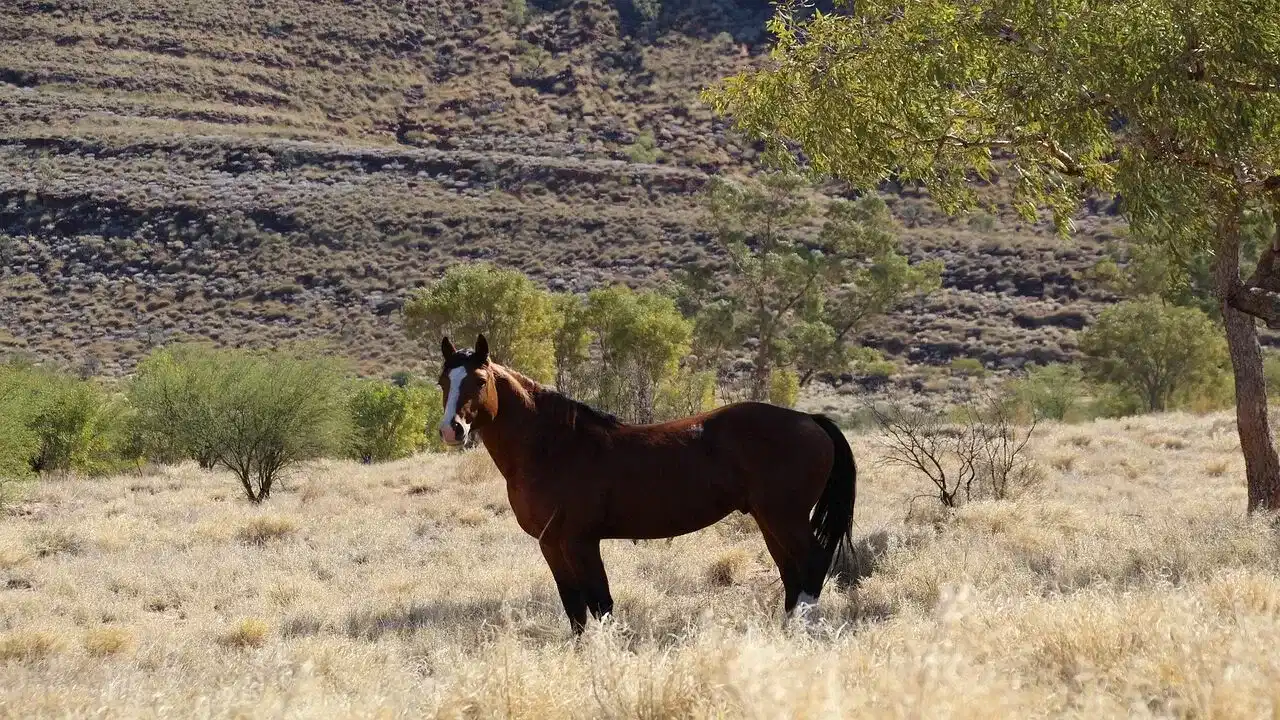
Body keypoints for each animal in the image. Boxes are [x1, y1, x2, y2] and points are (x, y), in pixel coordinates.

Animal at [435, 333, 855, 630]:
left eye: (479, 380)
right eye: (443, 381)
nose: (452, 430)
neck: (553, 446)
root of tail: (810, 420)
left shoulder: (580, 541)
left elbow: (600, 604)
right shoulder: (550, 544)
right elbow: (575, 609)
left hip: (785, 517)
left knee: (813, 563)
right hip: (769, 520)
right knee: (792, 574)